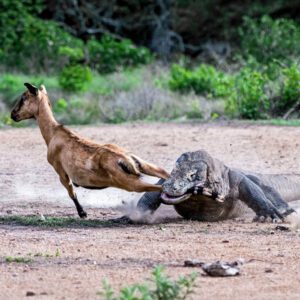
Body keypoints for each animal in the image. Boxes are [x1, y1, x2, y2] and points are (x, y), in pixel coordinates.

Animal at [11, 82, 169, 218]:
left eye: (24, 97)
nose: (13, 114)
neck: (54, 133)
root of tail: (125, 159)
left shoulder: (60, 170)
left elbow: (71, 192)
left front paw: (82, 213)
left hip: (130, 183)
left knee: (163, 188)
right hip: (143, 165)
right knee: (164, 174)